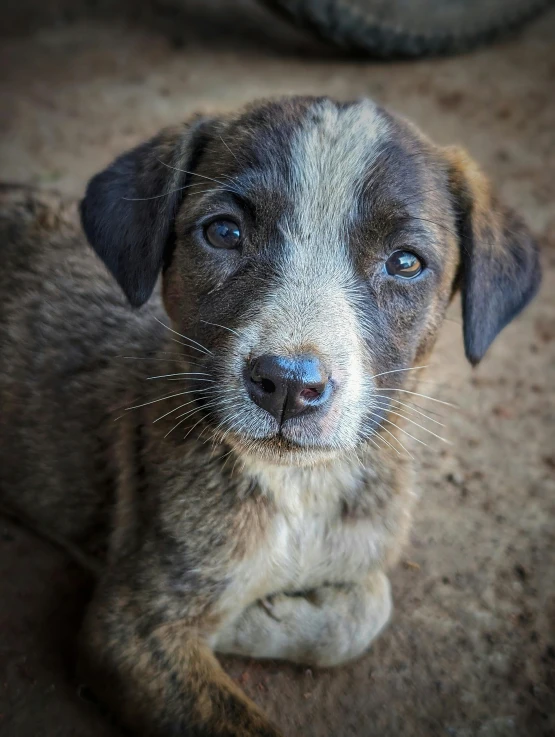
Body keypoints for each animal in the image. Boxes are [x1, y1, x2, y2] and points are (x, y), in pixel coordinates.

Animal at [0, 98, 540, 736]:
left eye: (406, 262)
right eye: (224, 232)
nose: (288, 385)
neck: (301, 489)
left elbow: (368, 608)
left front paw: (260, 615)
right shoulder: (128, 627)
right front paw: (242, 617)